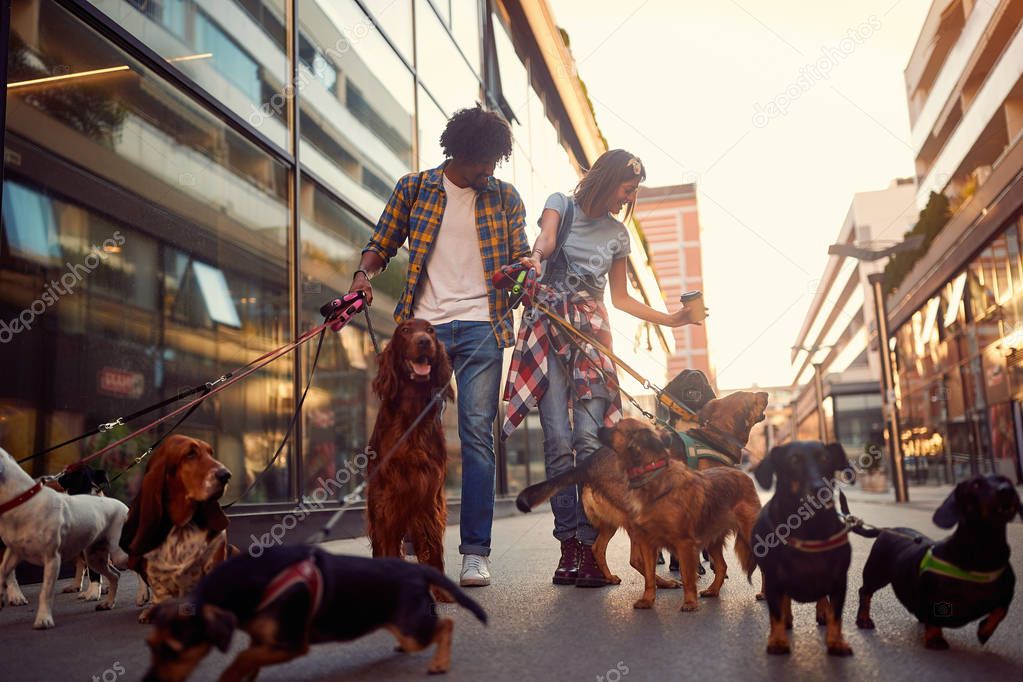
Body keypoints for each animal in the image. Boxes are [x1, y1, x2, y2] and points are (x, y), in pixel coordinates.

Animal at [143, 543, 486, 682]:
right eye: (150, 646)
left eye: (174, 650)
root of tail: (417, 570)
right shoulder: (264, 641)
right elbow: (249, 661)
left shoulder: (292, 644)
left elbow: (240, 659)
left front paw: (228, 676)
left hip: (414, 629)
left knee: (446, 624)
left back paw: (439, 663)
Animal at [601, 419, 765, 609]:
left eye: (617, 426)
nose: (600, 428)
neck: (652, 477)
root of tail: (745, 476)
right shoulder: (647, 543)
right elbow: (649, 576)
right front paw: (647, 600)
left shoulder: (684, 543)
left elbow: (687, 576)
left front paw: (690, 603)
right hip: (712, 539)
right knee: (722, 567)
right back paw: (713, 590)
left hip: (750, 536)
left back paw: (764, 593)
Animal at [752, 439, 855, 658]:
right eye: (793, 460)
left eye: (825, 458)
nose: (820, 489)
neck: (809, 528)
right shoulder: (773, 580)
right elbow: (776, 612)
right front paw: (778, 640)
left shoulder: (839, 581)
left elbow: (836, 615)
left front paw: (836, 641)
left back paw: (822, 610)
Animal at [855, 474, 1014, 650]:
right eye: (975, 484)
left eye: (1006, 480)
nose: (1006, 491)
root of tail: (888, 529)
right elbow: (933, 617)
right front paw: (935, 638)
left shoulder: (1006, 596)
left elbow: (1000, 611)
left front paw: (984, 631)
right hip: (877, 573)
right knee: (865, 592)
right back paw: (863, 619)